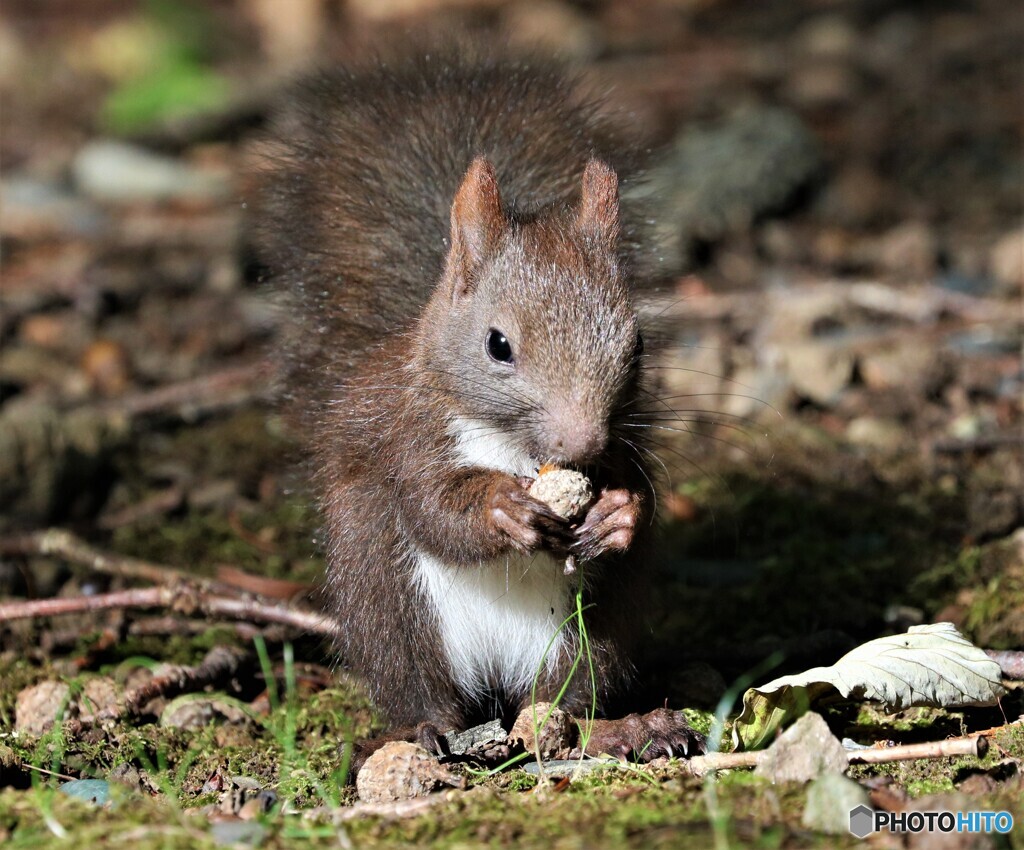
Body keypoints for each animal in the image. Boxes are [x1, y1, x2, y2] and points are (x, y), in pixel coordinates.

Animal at [256, 53, 704, 766]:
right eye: (498, 345)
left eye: (636, 344)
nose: (581, 443)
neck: (512, 447)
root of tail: (496, 675)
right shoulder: (410, 435)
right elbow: (431, 507)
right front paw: (499, 509)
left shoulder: (623, 448)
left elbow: (642, 496)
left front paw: (618, 513)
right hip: (391, 604)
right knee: (422, 688)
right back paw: (426, 731)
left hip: (588, 635)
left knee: (564, 703)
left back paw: (624, 728)